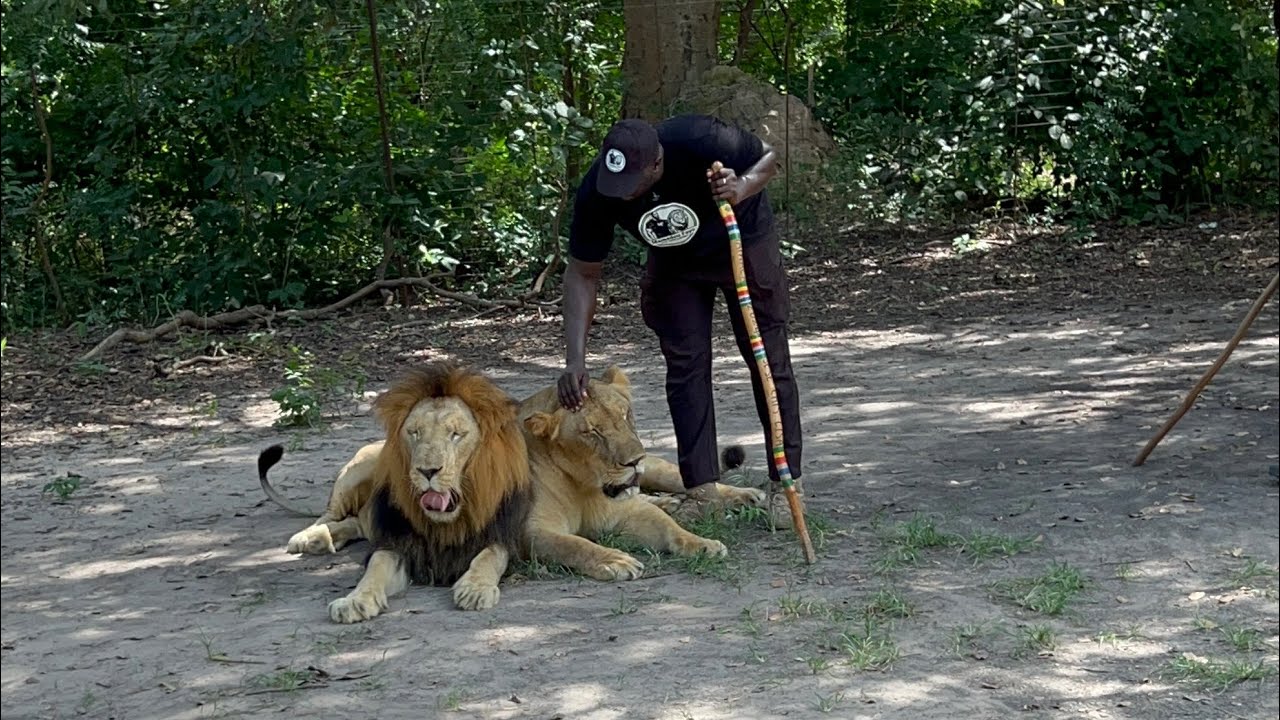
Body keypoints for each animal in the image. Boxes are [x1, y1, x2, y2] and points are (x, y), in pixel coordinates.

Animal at [256, 361, 533, 623]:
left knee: (357, 522)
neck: (447, 522)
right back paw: (310, 538)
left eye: (456, 434)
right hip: (360, 468)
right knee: (330, 515)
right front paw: (355, 601)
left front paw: (475, 589)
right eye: (414, 432)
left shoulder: (500, 536)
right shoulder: (397, 542)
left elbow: (488, 558)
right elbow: (375, 568)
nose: (427, 471)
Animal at [517, 365, 764, 581]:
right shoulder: (532, 531)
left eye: (625, 415)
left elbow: (668, 526)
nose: (636, 460)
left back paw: (747, 495)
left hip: (657, 470)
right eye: (592, 432)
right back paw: (667, 502)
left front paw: (704, 544)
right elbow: (573, 545)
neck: (584, 484)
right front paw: (615, 561)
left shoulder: (627, 511)